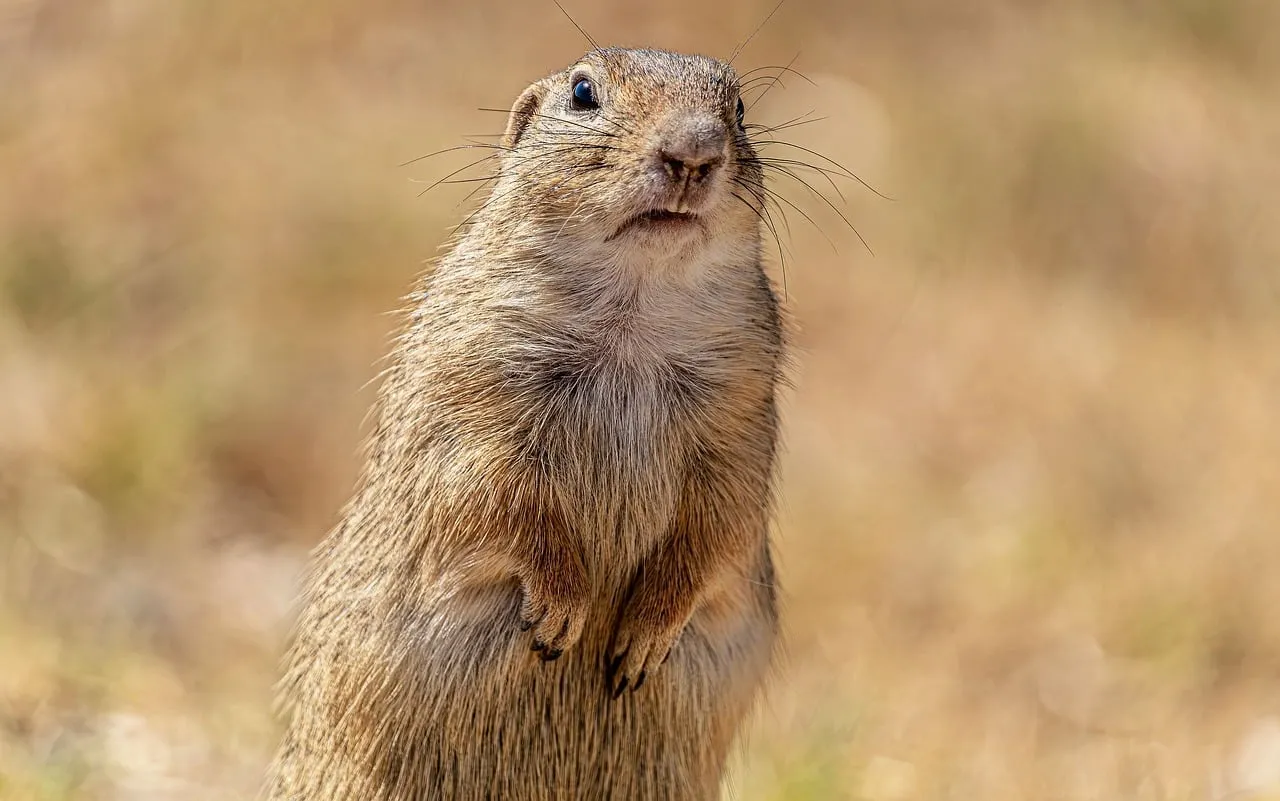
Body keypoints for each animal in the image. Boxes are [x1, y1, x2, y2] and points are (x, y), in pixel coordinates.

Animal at [266, 47, 787, 801]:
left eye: (739, 110)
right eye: (583, 93)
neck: (632, 315)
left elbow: (721, 525)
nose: (693, 152)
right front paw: (561, 614)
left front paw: (643, 639)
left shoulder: (741, 414)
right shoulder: (475, 393)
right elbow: (501, 497)